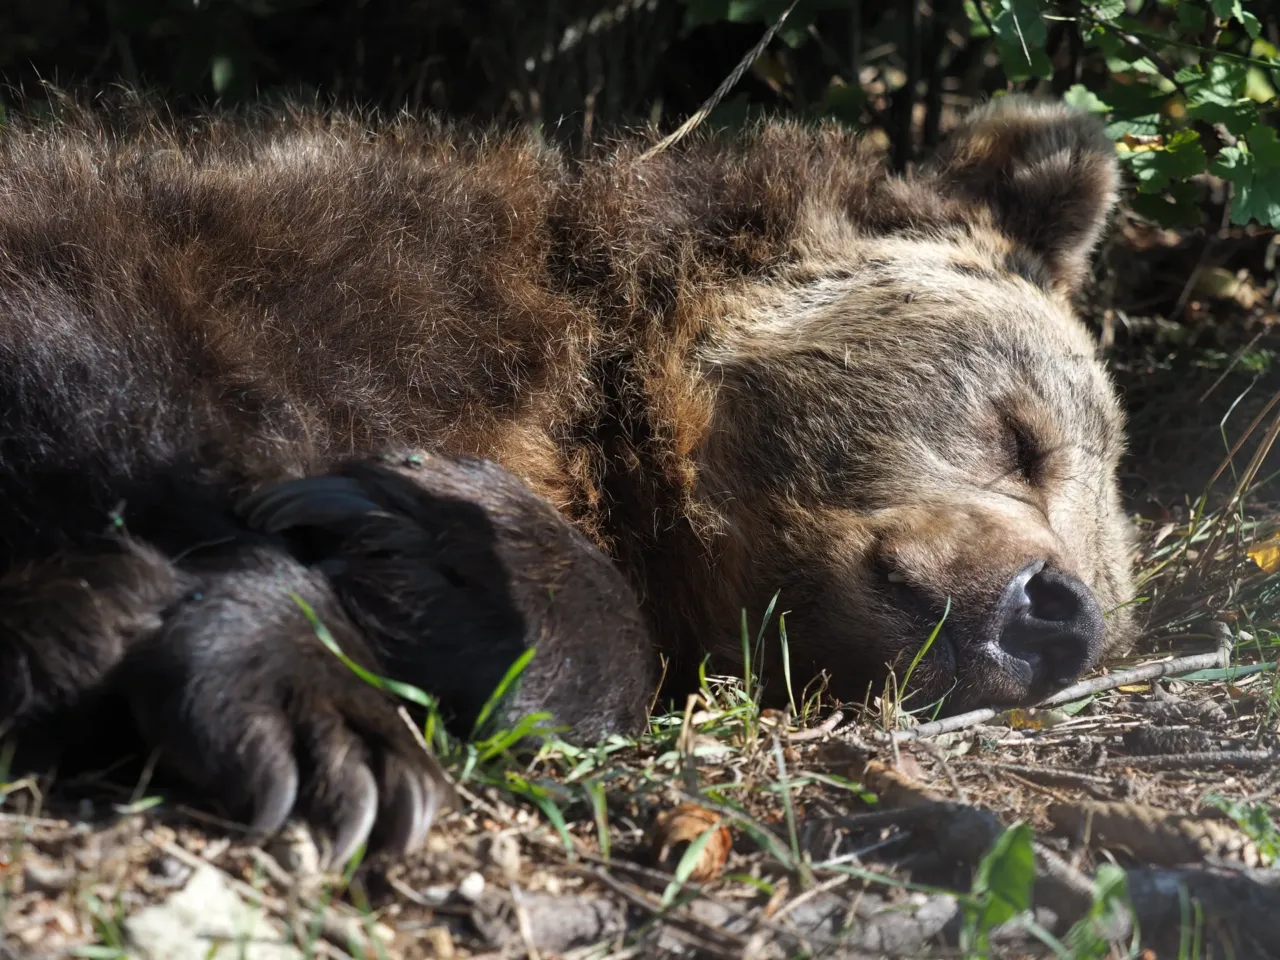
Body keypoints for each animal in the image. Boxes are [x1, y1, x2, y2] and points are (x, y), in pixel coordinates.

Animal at [0, 92, 1135, 863]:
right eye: (1020, 437)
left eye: (1110, 596)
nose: (1055, 612)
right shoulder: (316, 277)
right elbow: (147, 392)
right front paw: (329, 719)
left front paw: (432, 557)